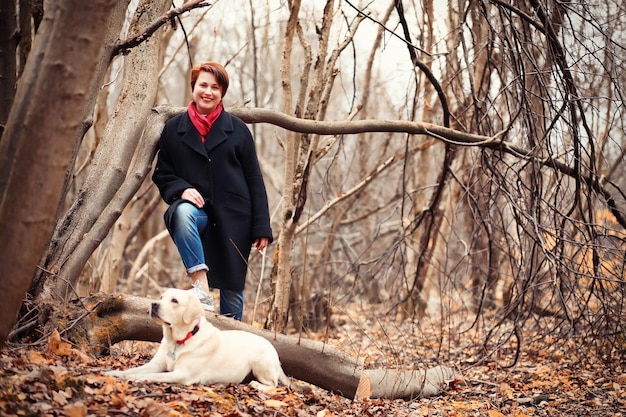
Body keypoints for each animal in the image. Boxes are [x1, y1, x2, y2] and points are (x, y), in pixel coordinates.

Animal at [106, 290, 290, 390]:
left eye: (174, 300)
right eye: (161, 296)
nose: (153, 304)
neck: (178, 340)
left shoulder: (182, 374)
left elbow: (153, 376)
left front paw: (137, 378)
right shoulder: (156, 364)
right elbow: (134, 369)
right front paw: (114, 373)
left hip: (260, 362)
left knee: (274, 384)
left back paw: (258, 385)